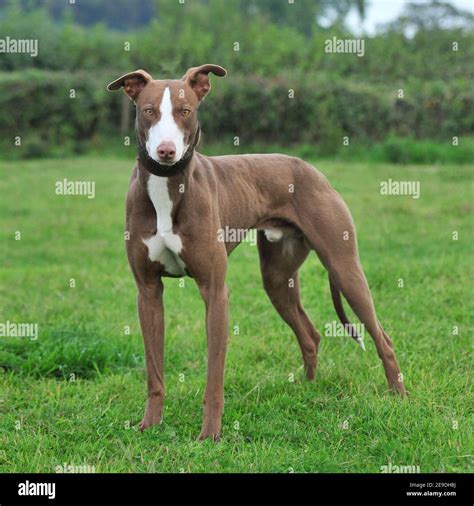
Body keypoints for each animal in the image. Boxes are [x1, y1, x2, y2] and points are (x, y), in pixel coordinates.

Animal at [106, 63, 404, 440]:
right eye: (149, 111)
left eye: (185, 111)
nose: (166, 152)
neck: (167, 187)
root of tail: (314, 170)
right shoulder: (147, 291)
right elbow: (154, 372)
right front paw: (150, 425)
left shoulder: (215, 292)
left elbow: (214, 378)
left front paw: (210, 435)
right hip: (277, 277)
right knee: (310, 335)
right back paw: (308, 390)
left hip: (344, 267)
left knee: (383, 339)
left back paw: (399, 399)